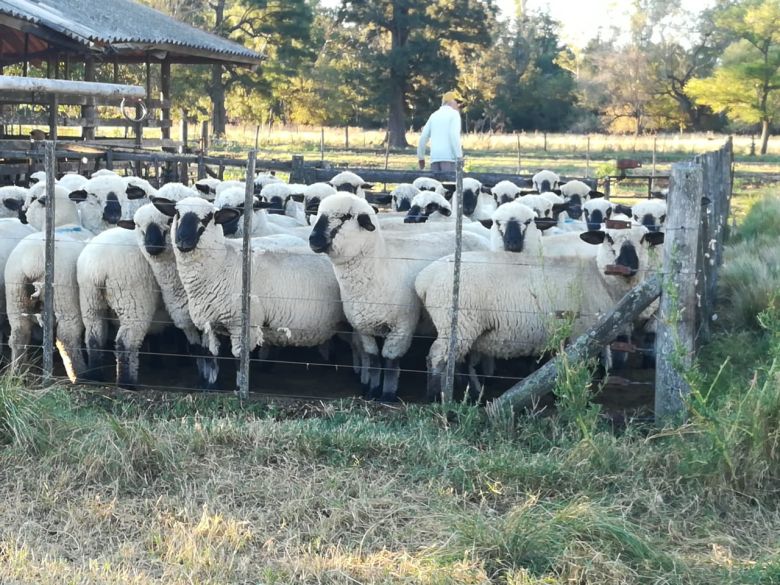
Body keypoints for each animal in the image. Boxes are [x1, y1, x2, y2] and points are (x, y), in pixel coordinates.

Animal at [306, 192, 484, 402]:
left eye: (345, 217)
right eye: (319, 214)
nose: (313, 240)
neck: (381, 266)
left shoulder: (402, 328)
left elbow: (390, 361)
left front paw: (387, 395)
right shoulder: (363, 327)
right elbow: (374, 360)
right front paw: (372, 391)